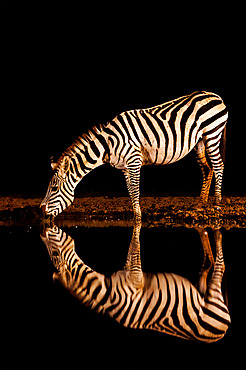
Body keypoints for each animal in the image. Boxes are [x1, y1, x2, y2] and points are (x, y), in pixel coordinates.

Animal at [40, 91, 227, 220]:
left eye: (54, 188)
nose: (41, 210)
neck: (108, 144)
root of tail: (215, 96)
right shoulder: (124, 167)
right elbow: (130, 191)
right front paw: (136, 216)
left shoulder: (134, 160)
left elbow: (135, 190)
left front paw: (138, 218)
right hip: (200, 141)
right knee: (207, 168)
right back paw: (201, 204)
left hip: (212, 133)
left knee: (218, 165)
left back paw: (217, 203)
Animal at [40, 221, 231, 342]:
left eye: (54, 254)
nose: (43, 234)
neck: (106, 293)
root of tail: (221, 333)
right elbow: (131, 250)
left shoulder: (135, 278)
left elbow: (135, 246)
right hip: (203, 290)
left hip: (213, 294)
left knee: (220, 267)